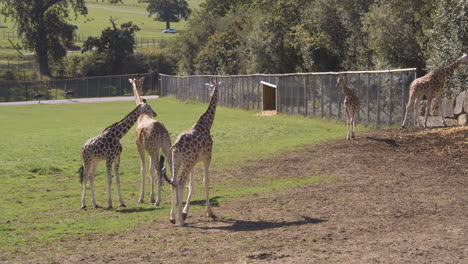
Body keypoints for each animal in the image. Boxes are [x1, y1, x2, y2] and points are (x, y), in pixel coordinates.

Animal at [128, 76, 172, 206]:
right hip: (165, 146)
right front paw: (151, 197)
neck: (141, 117)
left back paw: (158, 201)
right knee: (170, 167)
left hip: (154, 149)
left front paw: (142, 198)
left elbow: (143, 170)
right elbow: (150, 170)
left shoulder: (140, 147)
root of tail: (161, 130)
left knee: (159, 170)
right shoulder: (150, 150)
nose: (140, 87)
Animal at [165, 78, 221, 225]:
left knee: (173, 181)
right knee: (180, 182)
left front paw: (185, 212)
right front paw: (210, 213)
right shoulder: (207, 157)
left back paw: (172, 217)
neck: (206, 124)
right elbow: (205, 182)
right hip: (187, 162)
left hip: (177, 161)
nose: (216, 95)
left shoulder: (194, 162)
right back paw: (181, 221)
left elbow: (192, 185)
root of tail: (176, 145)